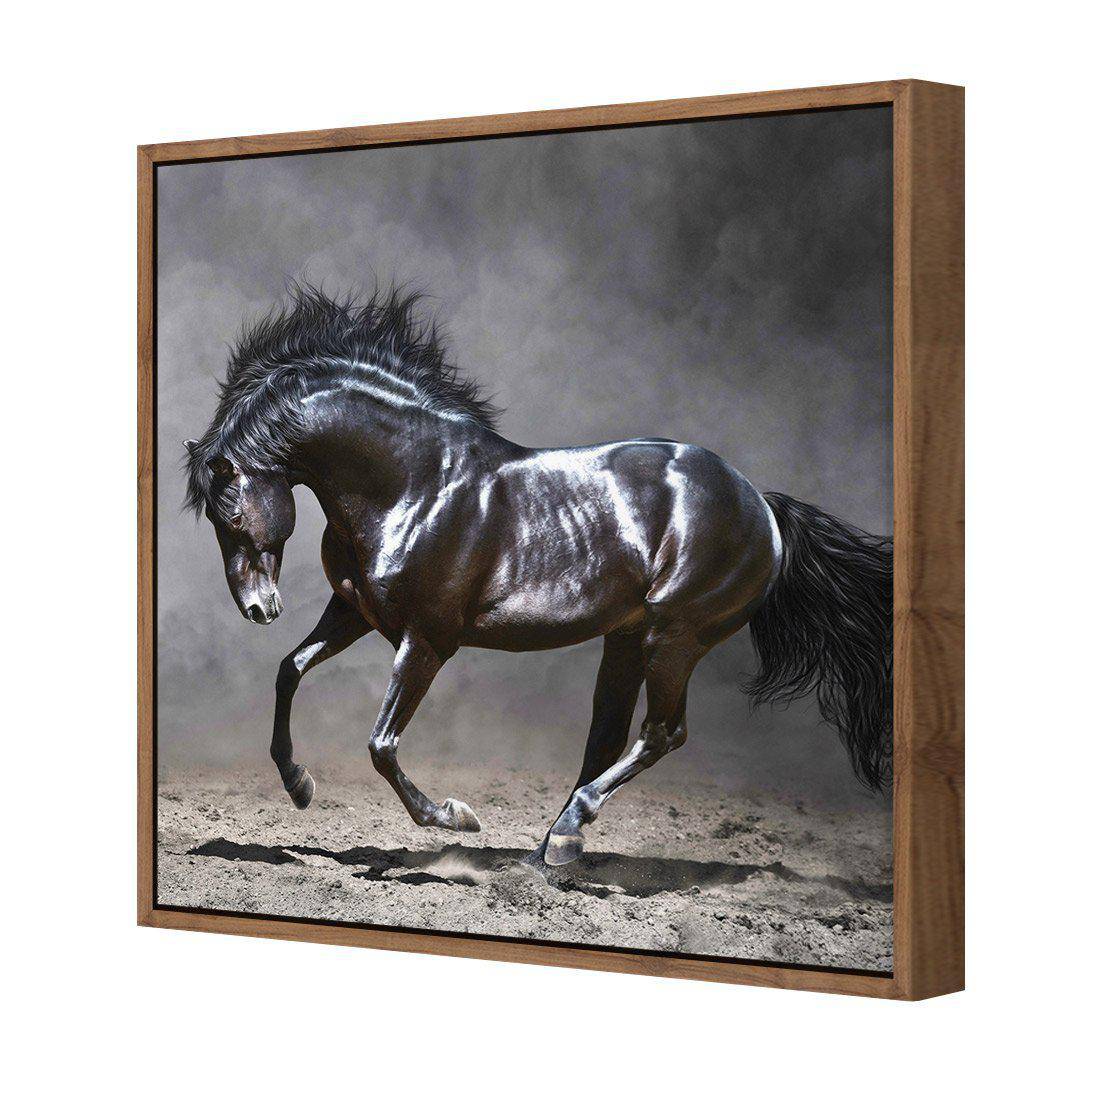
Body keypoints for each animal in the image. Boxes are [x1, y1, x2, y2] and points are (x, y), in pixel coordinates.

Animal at [184, 284, 892, 866]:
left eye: (230, 509)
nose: (258, 608)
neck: (414, 483)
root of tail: (761, 505)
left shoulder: (428, 639)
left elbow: (381, 744)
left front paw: (456, 818)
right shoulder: (355, 612)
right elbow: (290, 670)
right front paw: (299, 785)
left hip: (674, 636)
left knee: (661, 733)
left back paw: (566, 837)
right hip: (627, 638)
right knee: (607, 739)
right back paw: (551, 850)